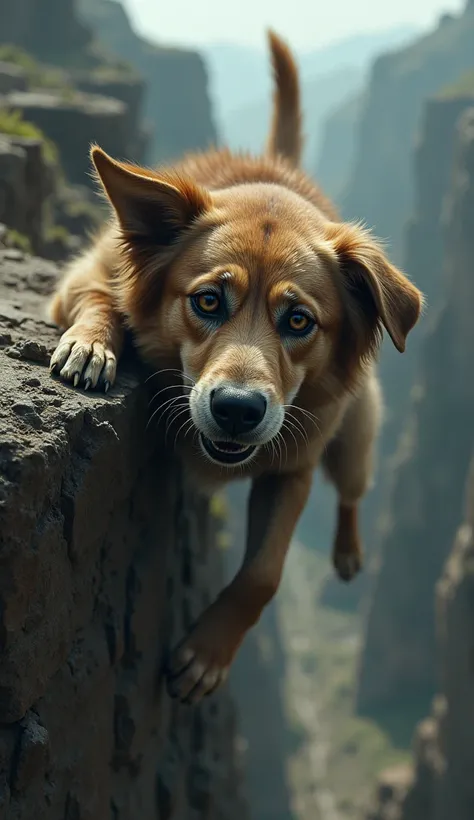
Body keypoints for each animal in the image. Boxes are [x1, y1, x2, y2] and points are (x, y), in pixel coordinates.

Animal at [48, 30, 422, 700]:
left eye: (298, 321)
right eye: (207, 301)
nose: (238, 411)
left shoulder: (294, 469)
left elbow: (263, 575)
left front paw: (207, 652)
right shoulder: (83, 273)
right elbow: (100, 297)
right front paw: (93, 345)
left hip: (355, 437)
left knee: (353, 491)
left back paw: (349, 551)